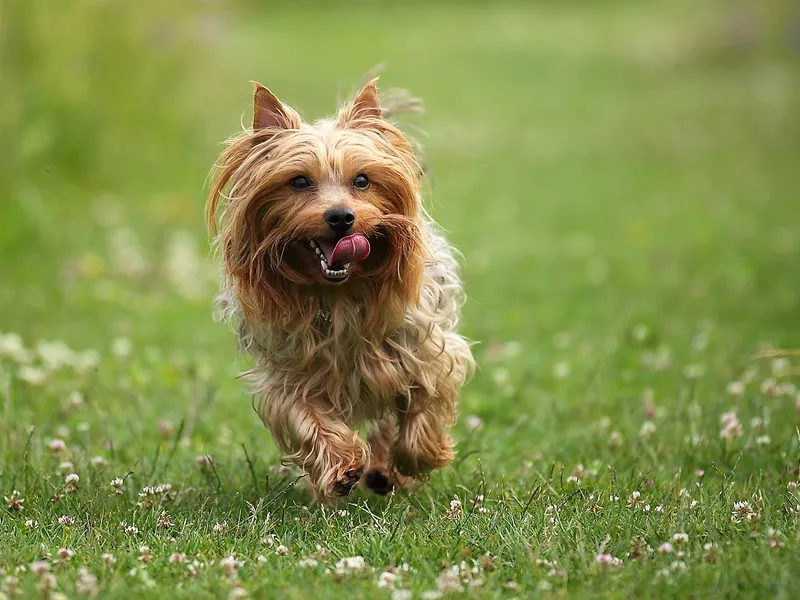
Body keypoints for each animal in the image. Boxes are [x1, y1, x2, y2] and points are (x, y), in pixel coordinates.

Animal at [206, 79, 476, 502]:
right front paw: (341, 467)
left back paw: (386, 469)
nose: (341, 217)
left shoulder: (426, 349)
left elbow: (425, 401)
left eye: (362, 180)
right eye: (299, 181)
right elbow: (305, 416)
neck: (339, 293)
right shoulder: (289, 372)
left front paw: (419, 457)